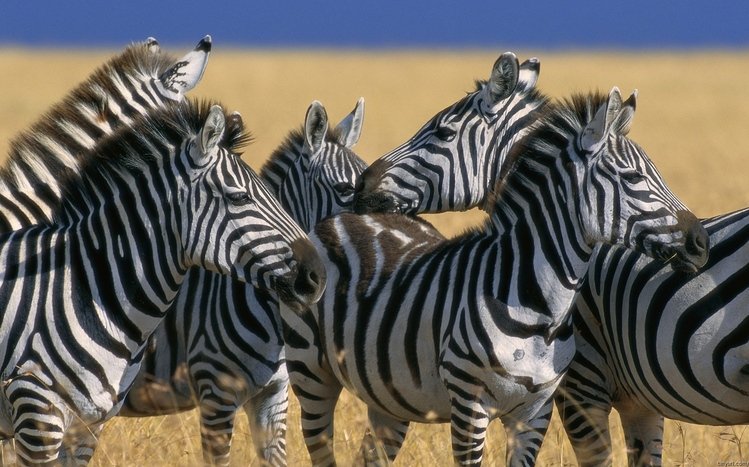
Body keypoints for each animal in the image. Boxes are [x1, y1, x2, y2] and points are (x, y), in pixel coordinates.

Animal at [284, 88, 710, 465]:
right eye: (633, 177)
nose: (701, 241)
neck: (540, 308)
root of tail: (338, 215)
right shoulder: (470, 405)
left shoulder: (535, 412)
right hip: (311, 373)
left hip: (387, 392)